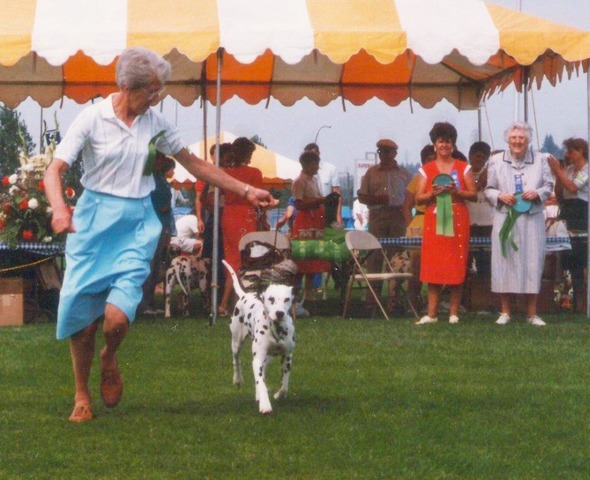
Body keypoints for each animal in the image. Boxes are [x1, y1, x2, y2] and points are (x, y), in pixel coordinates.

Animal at [222, 260, 296, 414]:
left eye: (286, 299)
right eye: (271, 299)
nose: (280, 313)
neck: (276, 329)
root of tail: (244, 295)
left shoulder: (287, 357)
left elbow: (285, 385)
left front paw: (278, 394)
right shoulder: (257, 359)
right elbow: (260, 382)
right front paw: (265, 405)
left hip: (269, 357)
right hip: (236, 343)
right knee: (236, 359)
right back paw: (238, 379)